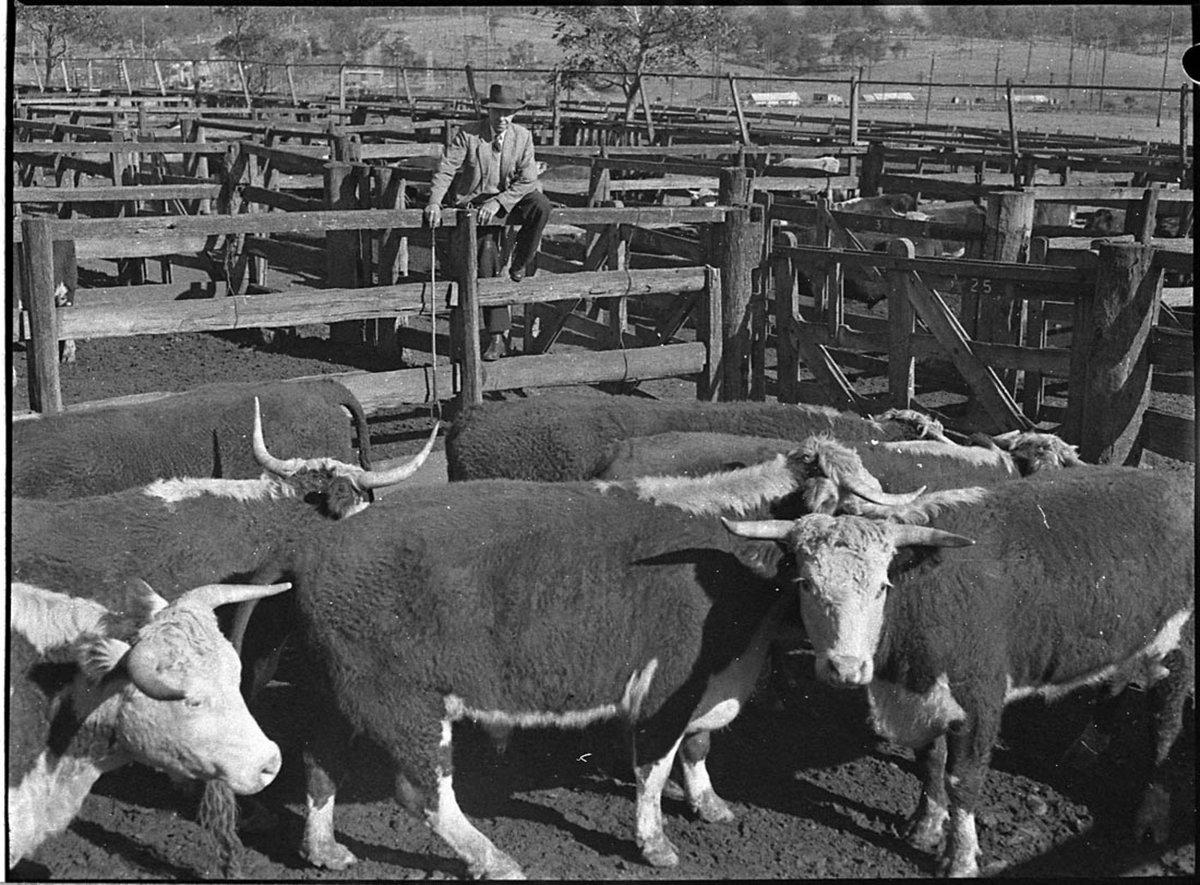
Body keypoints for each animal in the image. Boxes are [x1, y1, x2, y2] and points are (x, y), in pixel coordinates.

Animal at [723, 467, 1195, 877]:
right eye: (806, 583)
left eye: (880, 587)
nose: (846, 668)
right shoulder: (922, 694)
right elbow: (930, 761)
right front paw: (925, 825)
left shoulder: (979, 698)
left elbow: (962, 779)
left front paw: (960, 858)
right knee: (1115, 678)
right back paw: (1088, 745)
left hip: (1177, 645)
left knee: (1165, 724)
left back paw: (1152, 814)